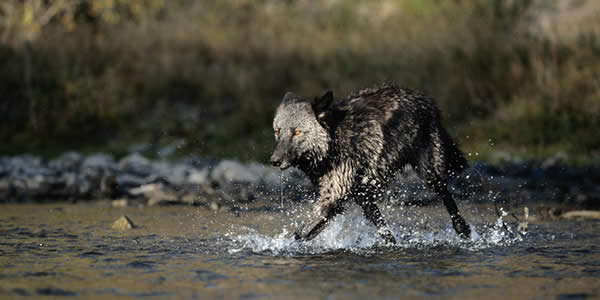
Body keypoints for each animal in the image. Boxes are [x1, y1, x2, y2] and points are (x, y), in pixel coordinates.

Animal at [270, 84, 472, 244]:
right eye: (278, 132)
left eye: (297, 132)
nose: (274, 161)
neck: (334, 141)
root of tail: (425, 99)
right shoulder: (347, 196)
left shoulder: (334, 196)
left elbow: (301, 233)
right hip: (367, 197)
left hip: (429, 174)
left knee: (446, 195)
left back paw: (463, 230)